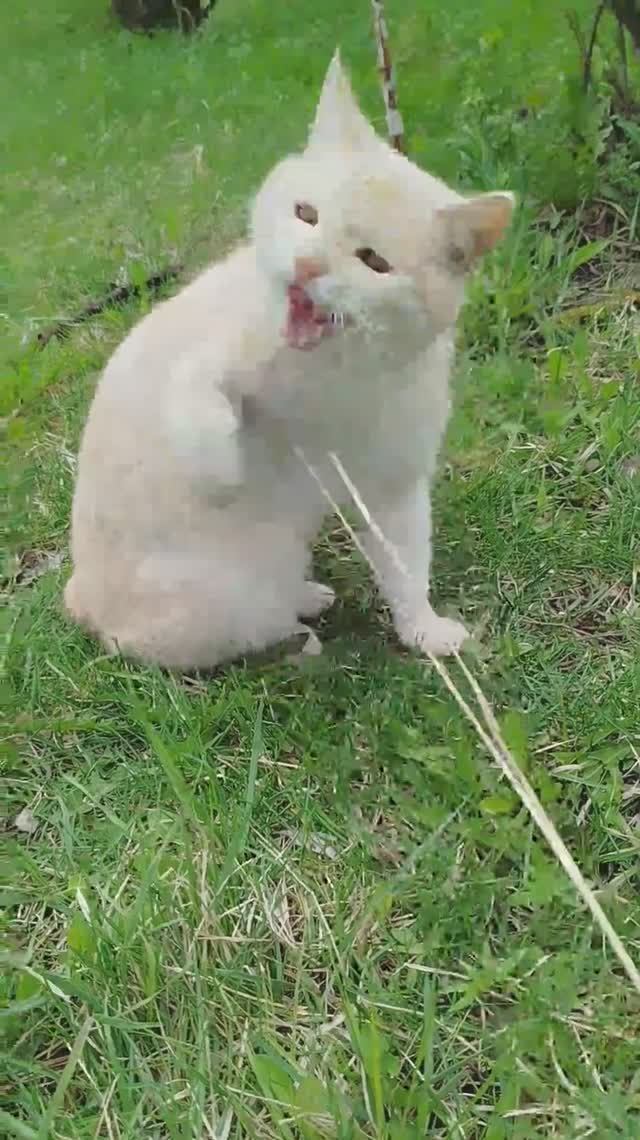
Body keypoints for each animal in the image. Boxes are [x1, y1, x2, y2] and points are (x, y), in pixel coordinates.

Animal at [65, 52, 514, 670]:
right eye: (306, 213)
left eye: (374, 261)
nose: (306, 267)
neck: (335, 375)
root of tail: (80, 597)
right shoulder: (205, 352)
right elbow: (201, 399)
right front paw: (223, 471)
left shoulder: (394, 482)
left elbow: (406, 563)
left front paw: (422, 630)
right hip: (229, 591)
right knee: (221, 633)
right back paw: (297, 632)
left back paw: (306, 600)